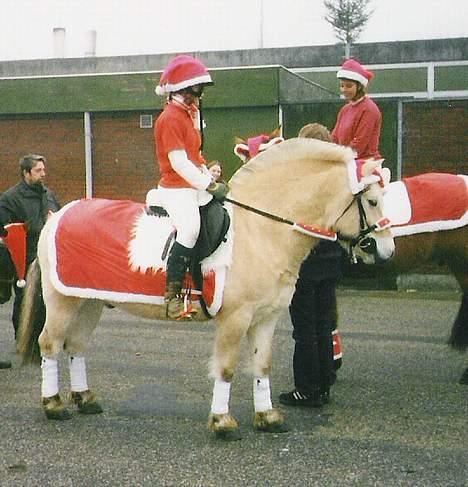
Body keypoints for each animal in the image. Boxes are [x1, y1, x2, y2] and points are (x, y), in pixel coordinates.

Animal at [16, 139, 394, 440]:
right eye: (373, 201)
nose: (386, 251)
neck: (260, 229)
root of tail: (55, 217)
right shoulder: (235, 319)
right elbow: (226, 368)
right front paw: (222, 423)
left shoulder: (266, 318)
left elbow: (263, 367)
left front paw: (267, 417)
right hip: (63, 301)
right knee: (50, 344)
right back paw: (53, 405)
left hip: (89, 301)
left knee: (76, 345)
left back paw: (86, 399)